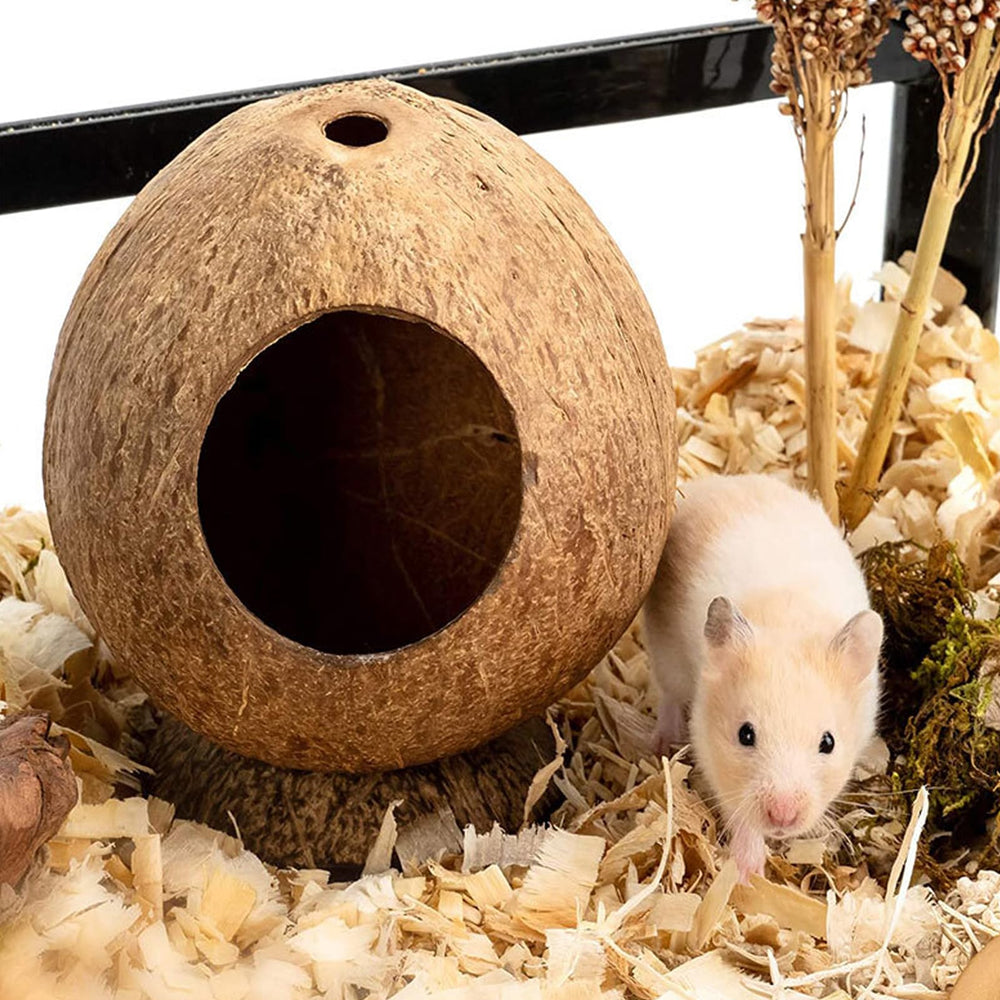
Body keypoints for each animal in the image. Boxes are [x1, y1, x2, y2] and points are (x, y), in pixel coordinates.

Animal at [642, 473, 882, 880]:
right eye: (745, 735)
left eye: (829, 742)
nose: (783, 818)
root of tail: (711, 484)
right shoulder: (710, 747)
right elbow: (741, 816)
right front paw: (746, 873)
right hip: (666, 656)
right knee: (669, 696)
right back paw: (662, 744)